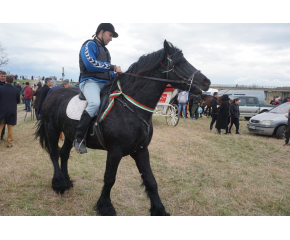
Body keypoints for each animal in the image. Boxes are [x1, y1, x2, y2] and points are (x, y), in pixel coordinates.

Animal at [35, 39, 211, 216]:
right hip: (52, 130)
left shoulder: (141, 150)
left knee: (64, 154)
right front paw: (105, 206)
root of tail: (52, 93)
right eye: (179, 62)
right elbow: (109, 178)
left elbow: (151, 180)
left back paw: (67, 181)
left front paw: (159, 209)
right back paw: (59, 184)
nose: (206, 82)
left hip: (70, 134)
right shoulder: (115, 151)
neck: (130, 106)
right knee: (54, 154)